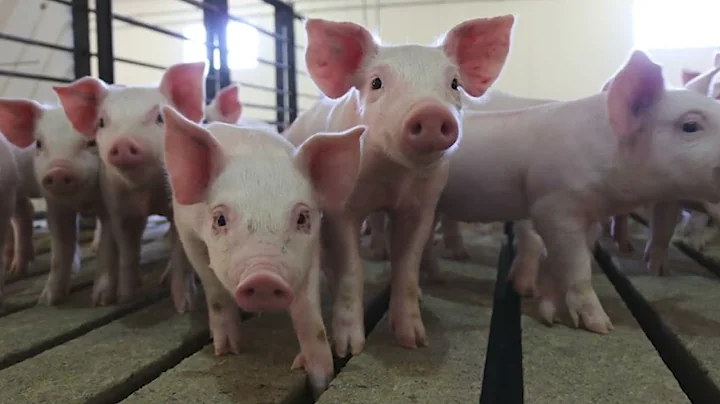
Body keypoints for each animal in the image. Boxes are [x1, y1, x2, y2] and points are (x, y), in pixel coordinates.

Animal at [0, 99, 108, 305]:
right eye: (39, 143)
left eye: (92, 142)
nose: (58, 171)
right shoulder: (55, 204)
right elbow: (59, 251)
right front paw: (47, 301)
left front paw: (101, 300)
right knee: (24, 212)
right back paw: (16, 270)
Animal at [53, 62, 207, 310]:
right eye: (102, 122)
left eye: (160, 118)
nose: (123, 143)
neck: (147, 192)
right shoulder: (118, 207)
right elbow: (127, 250)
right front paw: (125, 297)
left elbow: (181, 254)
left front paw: (185, 306)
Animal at [161, 105, 365, 396]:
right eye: (220, 219)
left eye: (302, 217)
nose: (264, 278)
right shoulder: (189, 233)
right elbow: (215, 292)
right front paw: (227, 351)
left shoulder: (311, 249)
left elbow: (309, 310)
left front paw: (321, 379)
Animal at [283, 16, 515, 356]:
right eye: (377, 83)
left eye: (454, 84)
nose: (430, 112)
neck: (392, 176)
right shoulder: (343, 210)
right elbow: (352, 268)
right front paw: (348, 348)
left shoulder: (423, 206)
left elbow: (406, 265)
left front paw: (414, 342)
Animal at [420, 50, 720, 335]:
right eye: (690, 126)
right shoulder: (553, 206)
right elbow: (577, 268)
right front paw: (601, 326)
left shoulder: (590, 216)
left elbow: (561, 265)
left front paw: (550, 315)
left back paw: (437, 277)